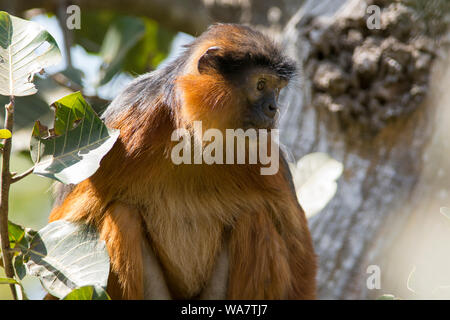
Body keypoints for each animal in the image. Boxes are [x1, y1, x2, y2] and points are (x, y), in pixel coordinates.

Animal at [49, 23, 316, 300]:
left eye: (277, 90)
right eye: (261, 85)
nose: (274, 108)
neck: (193, 141)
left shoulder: (263, 151)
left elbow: (298, 250)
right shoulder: (128, 125)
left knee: (254, 216)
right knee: (122, 213)